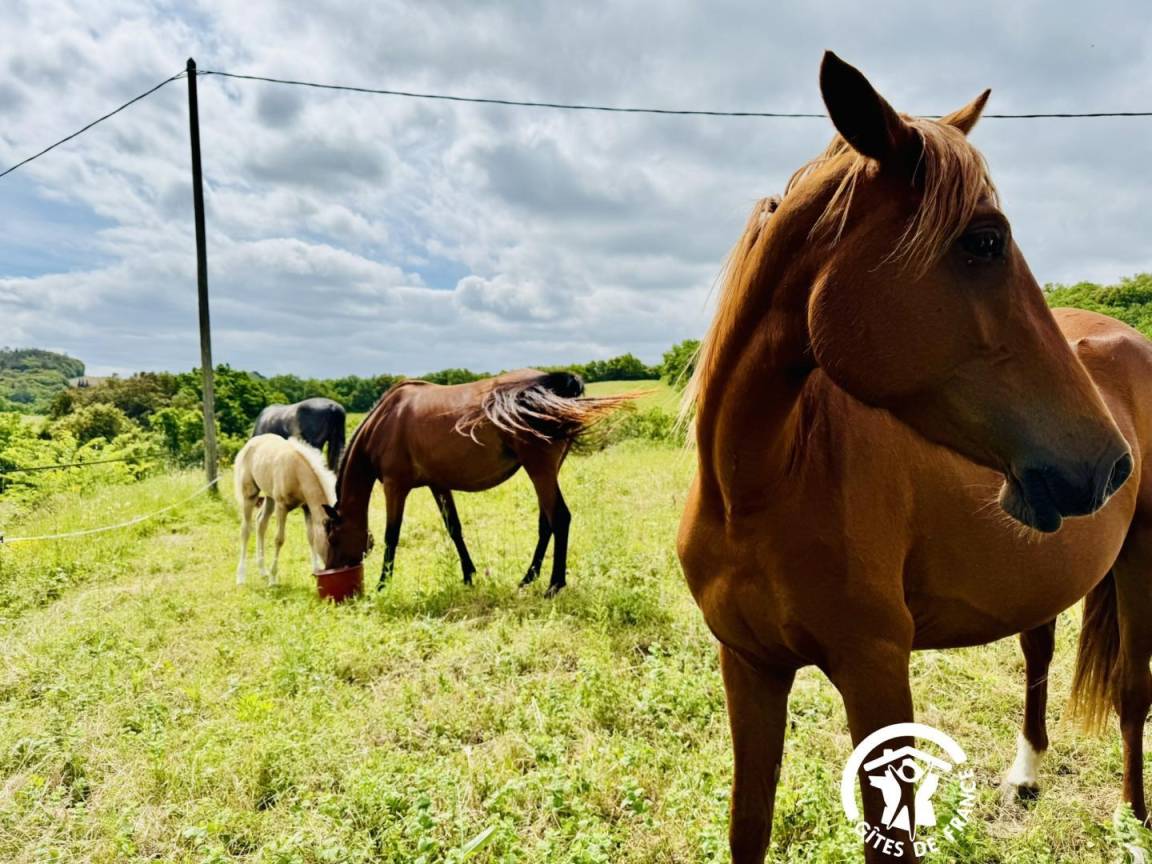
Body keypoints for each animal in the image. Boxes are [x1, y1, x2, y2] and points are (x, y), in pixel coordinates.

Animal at [234, 433, 337, 585]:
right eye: (333, 541)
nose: (335, 566)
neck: (296, 472)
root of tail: (252, 441)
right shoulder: (281, 506)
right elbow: (279, 539)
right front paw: (273, 578)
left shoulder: (306, 507)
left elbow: (311, 536)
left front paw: (315, 569)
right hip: (250, 494)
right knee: (246, 530)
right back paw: (241, 576)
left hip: (269, 497)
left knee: (261, 523)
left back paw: (262, 570)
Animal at [322, 370, 632, 596]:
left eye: (333, 537)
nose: (331, 570)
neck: (385, 421)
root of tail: (546, 384)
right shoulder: (438, 485)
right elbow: (454, 529)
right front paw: (469, 576)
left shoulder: (394, 486)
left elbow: (392, 536)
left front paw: (382, 584)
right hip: (547, 471)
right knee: (546, 523)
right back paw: (528, 578)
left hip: (540, 470)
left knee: (559, 518)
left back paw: (554, 585)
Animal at [677, 52, 1151, 863]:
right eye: (984, 240)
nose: (1111, 464)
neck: (756, 489)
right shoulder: (748, 666)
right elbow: (749, 830)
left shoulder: (875, 673)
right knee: (1040, 653)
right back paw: (1026, 774)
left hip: (1144, 558)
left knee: (1132, 697)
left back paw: (1133, 822)